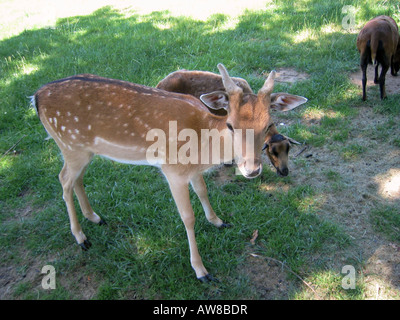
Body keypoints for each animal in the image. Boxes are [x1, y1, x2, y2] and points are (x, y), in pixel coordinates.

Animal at [33, 63, 304, 280]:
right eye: (230, 125)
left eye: (268, 124)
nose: (251, 169)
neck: (204, 144)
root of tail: (35, 97)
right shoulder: (173, 170)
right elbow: (187, 217)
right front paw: (201, 270)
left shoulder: (192, 170)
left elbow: (203, 190)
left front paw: (218, 221)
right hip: (70, 144)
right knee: (63, 179)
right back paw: (81, 238)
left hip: (80, 150)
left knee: (75, 179)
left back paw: (95, 217)